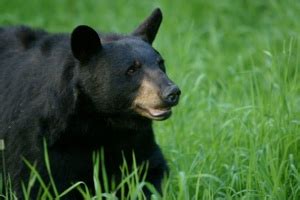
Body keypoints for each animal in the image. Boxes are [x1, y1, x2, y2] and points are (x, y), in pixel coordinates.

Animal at [0, 8, 180, 198]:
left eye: (161, 64)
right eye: (131, 69)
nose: (172, 92)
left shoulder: (135, 138)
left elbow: (149, 171)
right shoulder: (38, 135)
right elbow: (31, 181)